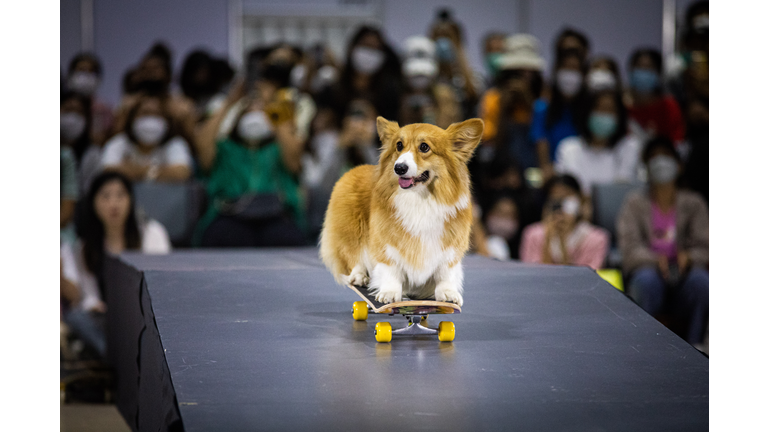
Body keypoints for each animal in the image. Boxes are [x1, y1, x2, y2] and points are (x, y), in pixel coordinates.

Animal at [320, 118, 484, 306]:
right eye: (399, 145)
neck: (419, 199)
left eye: (424, 147)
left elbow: (445, 273)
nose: (399, 168)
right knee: (353, 255)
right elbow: (390, 268)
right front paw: (389, 293)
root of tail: (354, 169)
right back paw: (359, 276)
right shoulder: (386, 243)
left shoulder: (450, 248)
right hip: (351, 231)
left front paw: (448, 293)